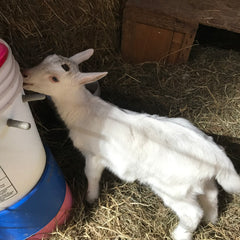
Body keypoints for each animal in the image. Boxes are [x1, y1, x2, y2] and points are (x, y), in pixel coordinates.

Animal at [23, 48, 240, 240]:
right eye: (46, 58)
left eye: (54, 79)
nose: (25, 74)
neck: (83, 110)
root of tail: (217, 156)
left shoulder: (94, 156)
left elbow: (91, 175)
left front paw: (91, 198)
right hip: (199, 181)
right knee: (212, 195)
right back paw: (212, 219)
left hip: (174, 188)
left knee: (193, 212)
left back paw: (180, 234)